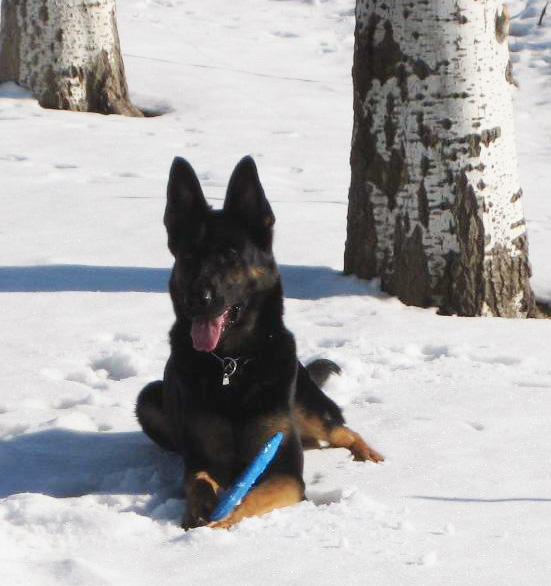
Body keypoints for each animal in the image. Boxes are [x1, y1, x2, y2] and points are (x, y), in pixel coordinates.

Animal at [137, 155, 384, 528]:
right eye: (189, 257)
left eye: (229, 255)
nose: (198, 300)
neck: (231, 364)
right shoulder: (199, 458)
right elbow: (198, 481)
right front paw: (197, 511)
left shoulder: (284, 469)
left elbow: (248, 498)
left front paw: (220, 521)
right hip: (148, 399)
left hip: (306, 407)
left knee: (341, 429)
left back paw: (366, 452)